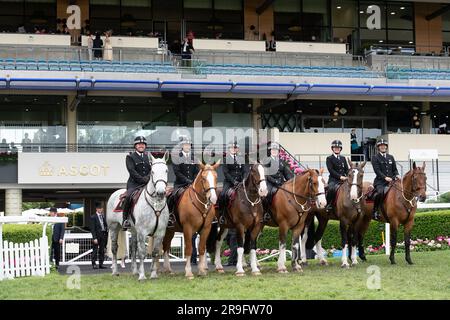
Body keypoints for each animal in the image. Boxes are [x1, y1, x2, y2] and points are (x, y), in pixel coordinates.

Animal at [106, 152, 170, 280]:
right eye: (152, 172)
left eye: (166, 170)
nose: (161, 192)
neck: (155, 205)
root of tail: (114, 193)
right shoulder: (142, 232)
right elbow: (142, 253)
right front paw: (142, 276)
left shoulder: (160, 233)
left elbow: (155, 252)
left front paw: (153, 274)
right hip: (114, 227)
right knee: (115, 248)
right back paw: (115, 271)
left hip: (134, 230)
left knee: (133, 248)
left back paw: (134, 271)